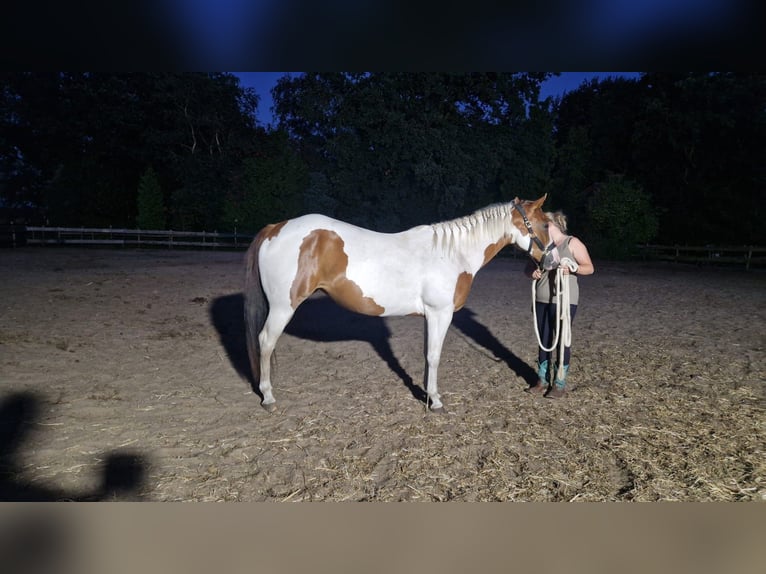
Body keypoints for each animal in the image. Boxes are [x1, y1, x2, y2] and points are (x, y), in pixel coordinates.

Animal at [243, 195, 551, 412]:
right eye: (546, 224)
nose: (551, 261)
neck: (453, 253)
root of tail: (275, 228)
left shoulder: (431, 316)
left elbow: (428, 355)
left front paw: (427, 395)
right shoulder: (441, 314)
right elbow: (435, 356)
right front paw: (436, 402)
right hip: (282, 308)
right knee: (265, 342)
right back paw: (268, 397)